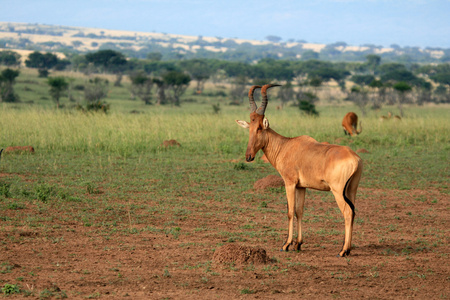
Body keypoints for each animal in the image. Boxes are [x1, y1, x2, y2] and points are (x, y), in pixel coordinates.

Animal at [236, 85, 362, 258]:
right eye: (250, 127)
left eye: (260, 127)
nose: (249, 157)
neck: (286, 145)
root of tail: (355, 158)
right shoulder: (302, 187)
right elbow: (299, 211)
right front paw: (298, 244)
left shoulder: (289, 183)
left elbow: (290, 211)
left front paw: (286, 245)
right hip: (351, 190)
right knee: (354, 212)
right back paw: (348, 249)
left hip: (338, 191)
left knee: (348, 212)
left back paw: (343, 251)